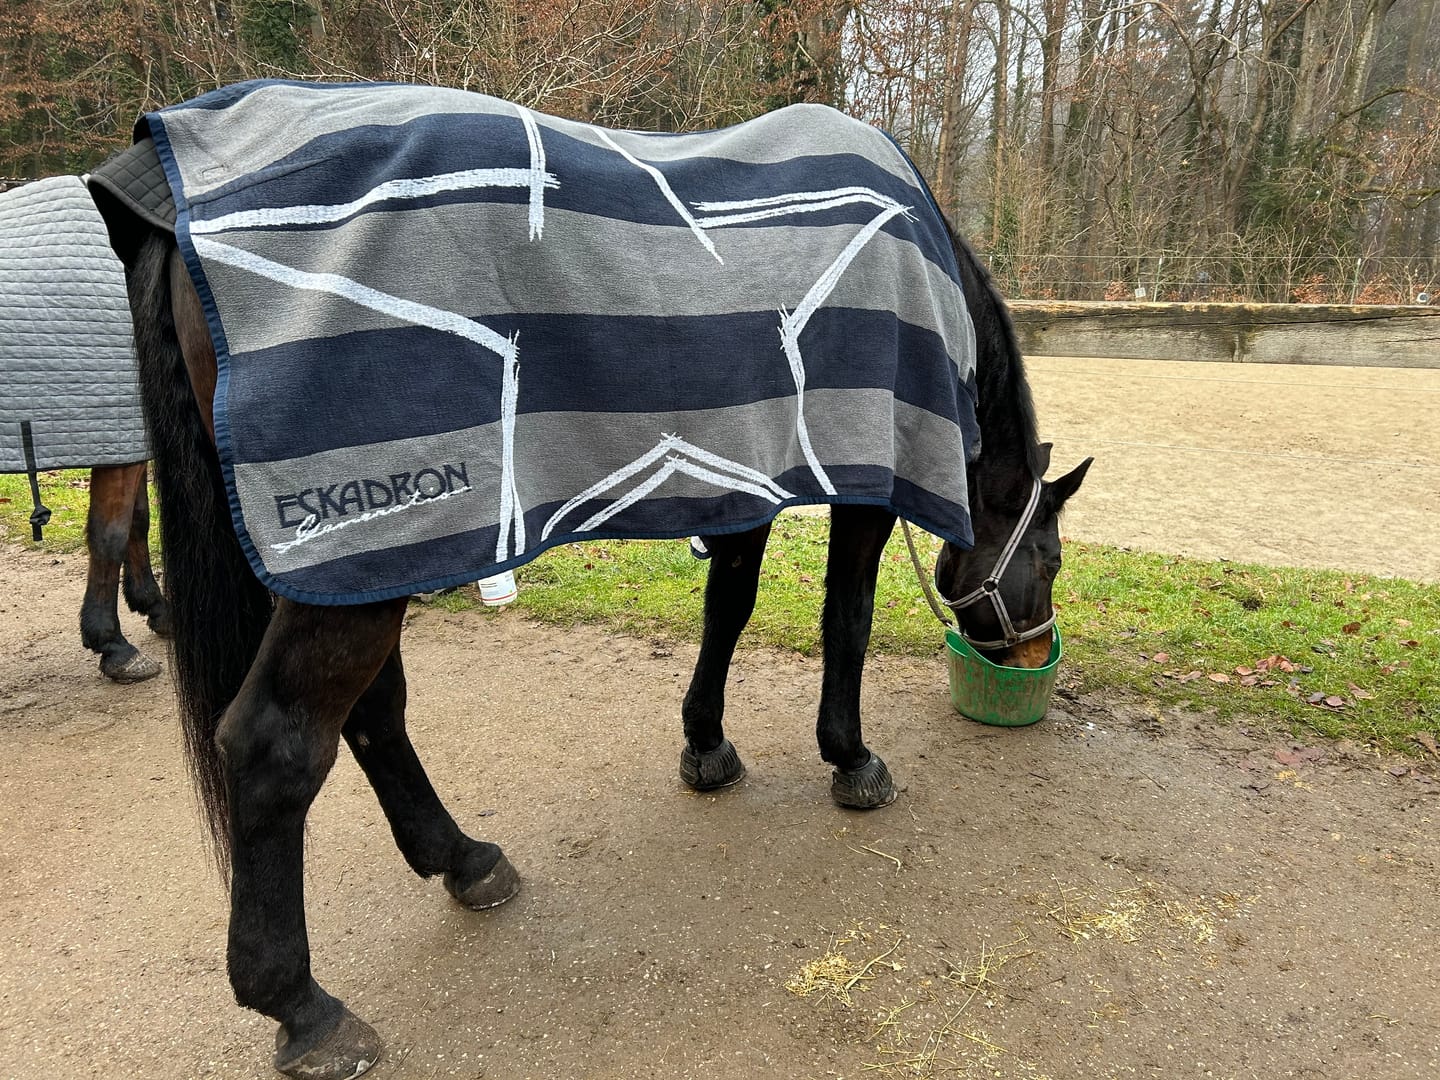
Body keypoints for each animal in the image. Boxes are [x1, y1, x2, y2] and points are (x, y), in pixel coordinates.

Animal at [90, 81, 1090, 1079]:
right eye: (1050, 557)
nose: (1031, 654)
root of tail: (170, 181)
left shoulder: (744, 474)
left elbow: (728, 609)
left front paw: (706, 747)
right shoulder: (866, 482)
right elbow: (845, 621)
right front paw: (850, 758)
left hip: (366, 568)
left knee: (373, 716)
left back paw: (464, 861)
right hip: (370, 551)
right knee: (276, 747)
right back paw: (302, 1006)